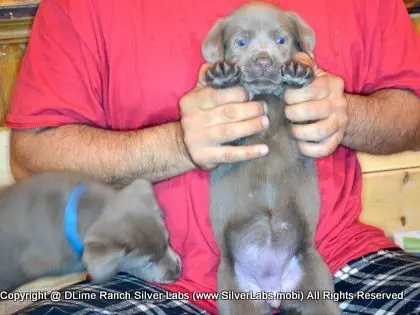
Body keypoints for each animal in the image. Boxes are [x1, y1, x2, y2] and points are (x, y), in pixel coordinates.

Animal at [203, 2, 342, 315]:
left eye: (281, 40)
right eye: (241, 42)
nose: (264, 61)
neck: (266, 99)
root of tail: (274, 289)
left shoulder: (306, 130)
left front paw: (299, 74)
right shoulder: (227, 141)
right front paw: (222, 78)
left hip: (315, 280)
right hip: (236, 294)